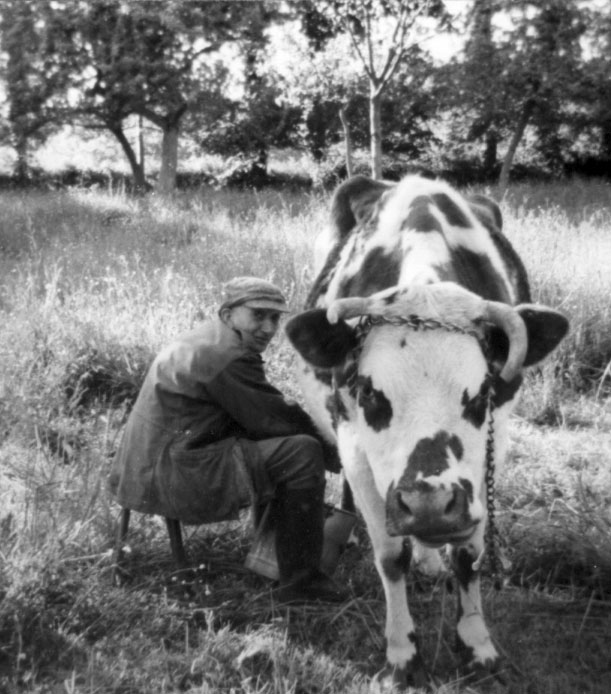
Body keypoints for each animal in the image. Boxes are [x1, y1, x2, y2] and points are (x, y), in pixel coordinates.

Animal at [286, 175, 568, 692]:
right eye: (370, 393)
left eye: (481, 394)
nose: (430, 505)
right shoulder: (353, 440)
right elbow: (389, 555)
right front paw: (402, 655)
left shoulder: (491, 448)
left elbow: (469, 555)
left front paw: (477, 645)